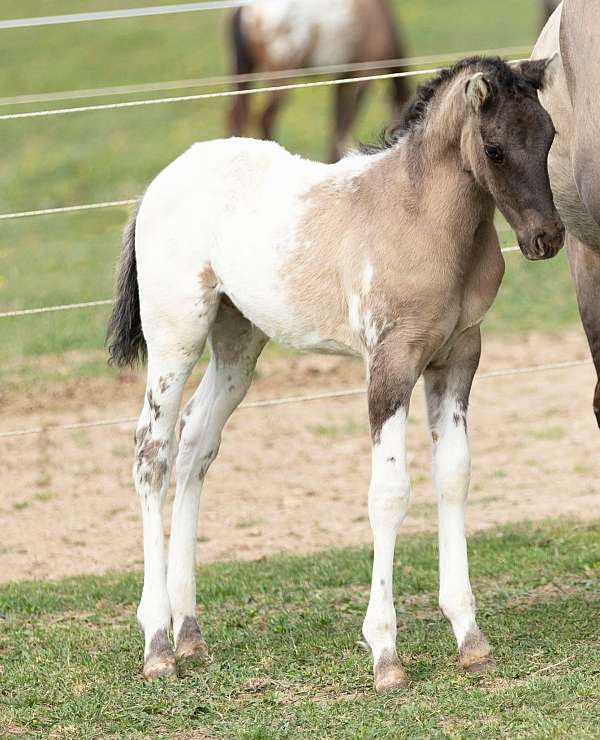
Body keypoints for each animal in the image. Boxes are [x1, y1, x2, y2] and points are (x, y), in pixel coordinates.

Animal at [107, 56, 563, 692]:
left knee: (196, 443)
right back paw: (157, 644)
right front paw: (386, 654)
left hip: (238, 340)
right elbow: (390, 493)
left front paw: (470, 639)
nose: (546, 238)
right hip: (176, 336)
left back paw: (189, 633)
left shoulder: (457, 358)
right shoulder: (391, 364)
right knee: (153, 452)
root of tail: (160, 183)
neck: (420, 219)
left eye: (549, 136)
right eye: (494, 149)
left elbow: (454, 476)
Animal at [227, 0, 411, 162]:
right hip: (282, 77)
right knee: (265, 117)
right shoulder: (365, 73)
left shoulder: (343, 77)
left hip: (243, 70)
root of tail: (244, 9)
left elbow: (337, 123)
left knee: (236, 114)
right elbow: (345, 123)